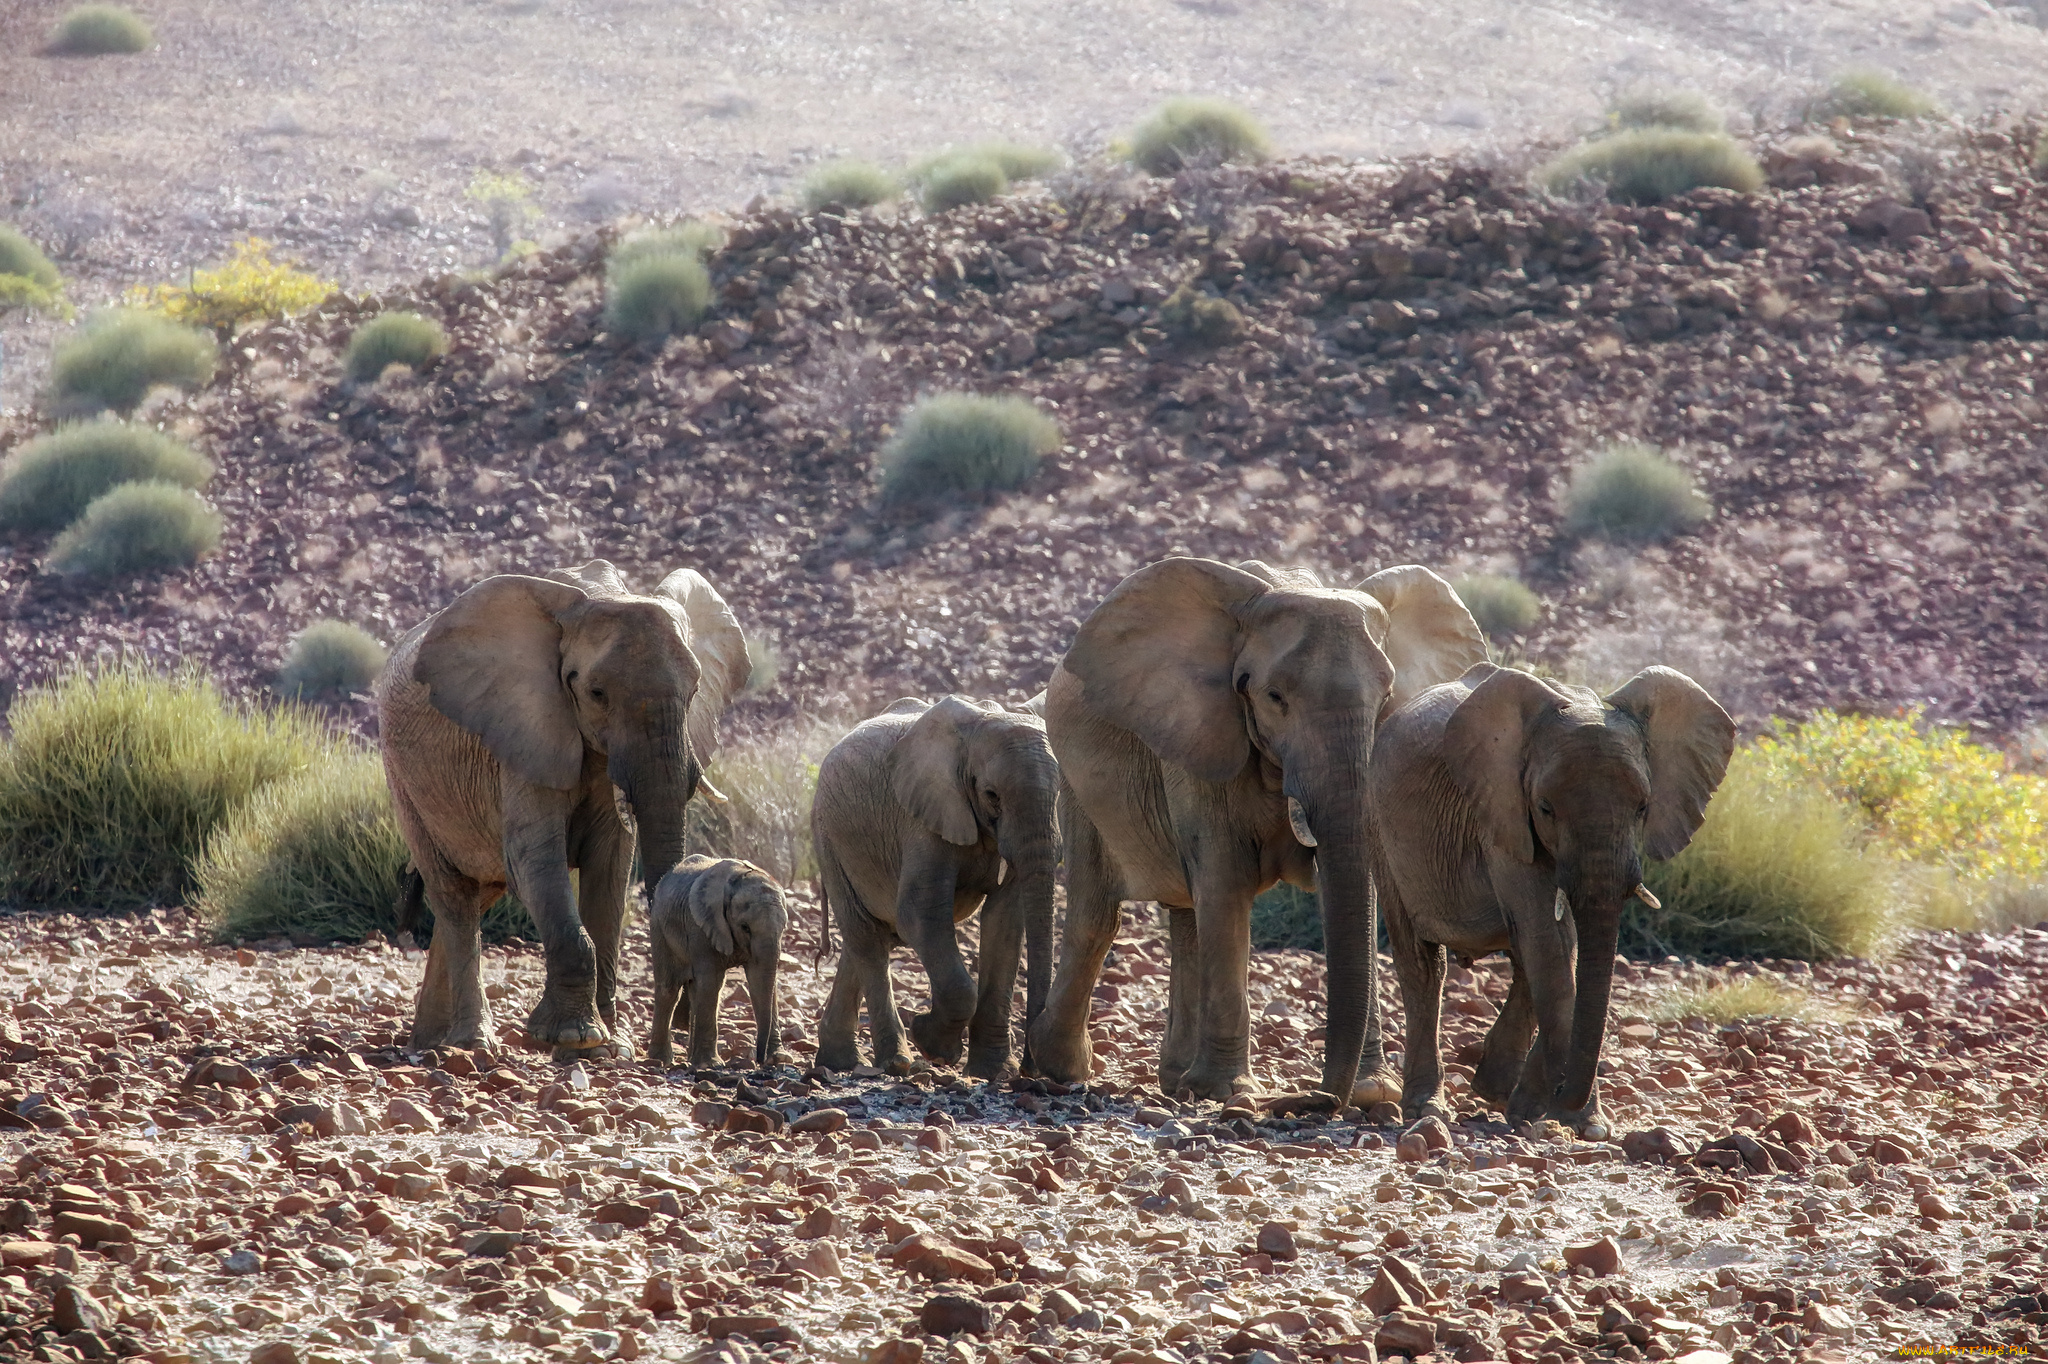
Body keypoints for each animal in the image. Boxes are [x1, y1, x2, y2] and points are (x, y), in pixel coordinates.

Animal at [372, 557, 749, 1044]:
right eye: (596, 693)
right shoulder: (523, 728)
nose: (683, 1022)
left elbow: (610, 867)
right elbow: (534, 860)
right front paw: (575, 1038)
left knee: (477, 895)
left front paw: (614, 1044)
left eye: (696, 690)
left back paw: (432, 1041)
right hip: (403, 780)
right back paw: (470, 1042)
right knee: (454, 898)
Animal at [651, 856, 786, 1064]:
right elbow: (711, 982)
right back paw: (661, 1060)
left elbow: (760, 982)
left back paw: (689, 1059)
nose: (759, 1060)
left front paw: (779, 1059)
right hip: (659, 928)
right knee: (669, 990)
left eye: (783, 927)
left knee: (693, 990)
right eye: (745, 927)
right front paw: (710, 1064)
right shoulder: (700, 927)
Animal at [811, 696, 1064, 1081]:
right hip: (830, 837)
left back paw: (837, 1061)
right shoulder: (923, 817)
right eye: (992, 795)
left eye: (1060, 792)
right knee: (866, 934)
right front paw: (934, 1046)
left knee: (872, 936)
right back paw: (895, 1063)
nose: (1030, 1071)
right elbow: (921, 914)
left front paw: (992, 1073)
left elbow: (1005, 921)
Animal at [1032, 557, 1482, 1097]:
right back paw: (1062, 1070)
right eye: (1273, 697)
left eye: (1388, 697)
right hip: (1076, 779)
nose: (1322, 1098)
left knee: (1186, 915)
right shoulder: (1200, 732)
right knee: (1097, 915)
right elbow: (1226, 880)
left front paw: (1374, 1094)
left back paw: (1175, 1080)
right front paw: (1229, 1092)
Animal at [1376, 663, 1728, 1130]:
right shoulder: (1501, 815)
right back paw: (1426, 1108)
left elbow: (1559, 947)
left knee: (1523, 958)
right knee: (1423, 965)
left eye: (1642, 808)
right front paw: (1583, 1123)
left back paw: (1495, 1091)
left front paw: (1544, 1113)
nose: (1567, 1102)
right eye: (1545, 808)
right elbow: (1551, 940)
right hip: (1378, 828)